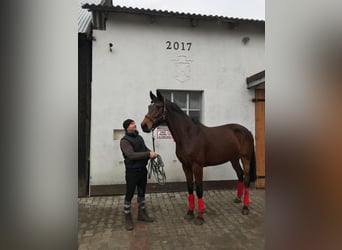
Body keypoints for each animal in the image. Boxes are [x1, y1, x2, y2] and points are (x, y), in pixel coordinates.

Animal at [140, 90, 255, 225]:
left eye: (158, 107)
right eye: (149, 106)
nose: (144, 125)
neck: (188, 135)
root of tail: (247, 131)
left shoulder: (197, 166)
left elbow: (199, 189)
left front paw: (200, 217)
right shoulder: (185, 166)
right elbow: (190, 187)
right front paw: (190, 213)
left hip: (245, 158)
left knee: (246, 178)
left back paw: (245, 207)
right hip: (234, 158)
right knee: (240, 174)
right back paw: (238, 199)